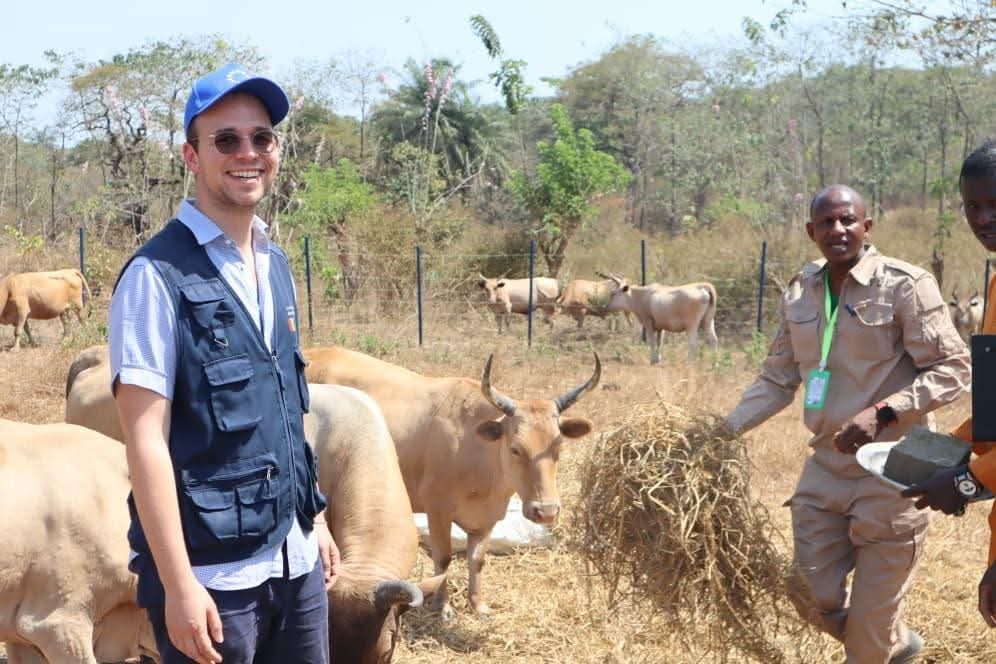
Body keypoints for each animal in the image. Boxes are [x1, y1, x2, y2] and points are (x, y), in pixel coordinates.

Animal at [304, 345, 600, 619]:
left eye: (558, 447)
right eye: (515, 448)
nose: (546, 511)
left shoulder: (487, 518)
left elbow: (477, 560)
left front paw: (478, 605)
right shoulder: (437, 510)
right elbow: (443, 558)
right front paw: (442, 606)